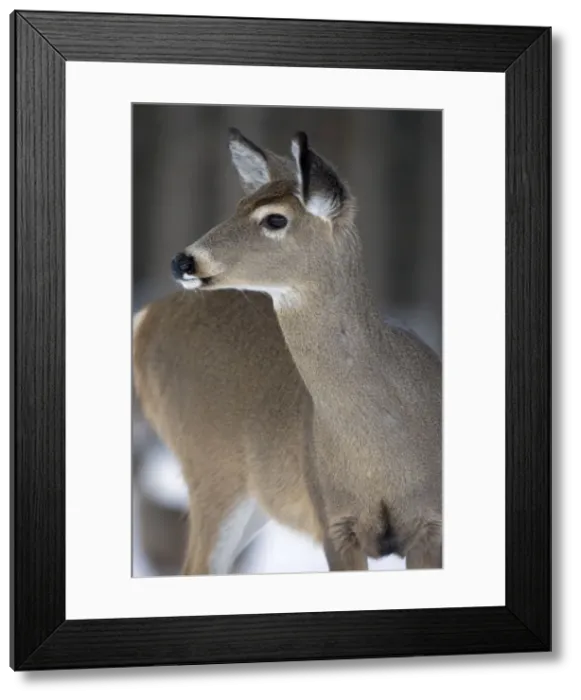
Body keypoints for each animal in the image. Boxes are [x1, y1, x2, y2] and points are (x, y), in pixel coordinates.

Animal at [132, 127, 442, 577]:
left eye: (275, 218)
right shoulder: (333, 520)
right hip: (211, 465)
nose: (182, 261)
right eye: (238, 205)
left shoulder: (431, 524)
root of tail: (145, 317)